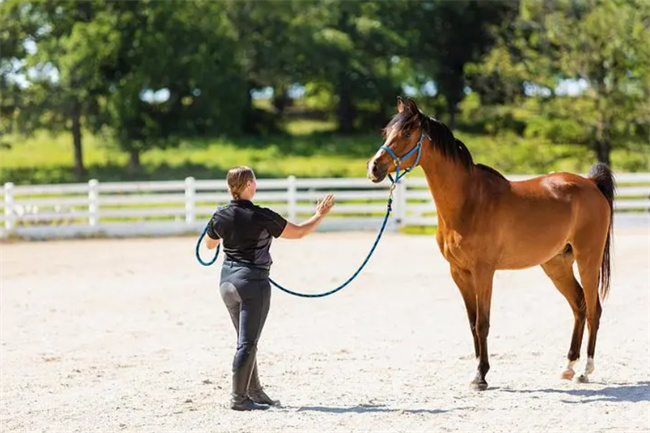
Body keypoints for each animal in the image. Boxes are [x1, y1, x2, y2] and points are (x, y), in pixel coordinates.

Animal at [368, 97, 612, 388]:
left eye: (406, 133)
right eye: (386, 132)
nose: (374, 167)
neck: (469, 201)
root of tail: (590, 183)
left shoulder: (484, 271)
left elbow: (482, 323)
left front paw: (480, 376)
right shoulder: (459, 273)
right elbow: (472, 323)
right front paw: (477, 371)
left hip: (588, 260)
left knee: (594, 309)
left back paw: (586, 370)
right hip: (557, 264)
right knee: (579, 305)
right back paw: (568, 367)